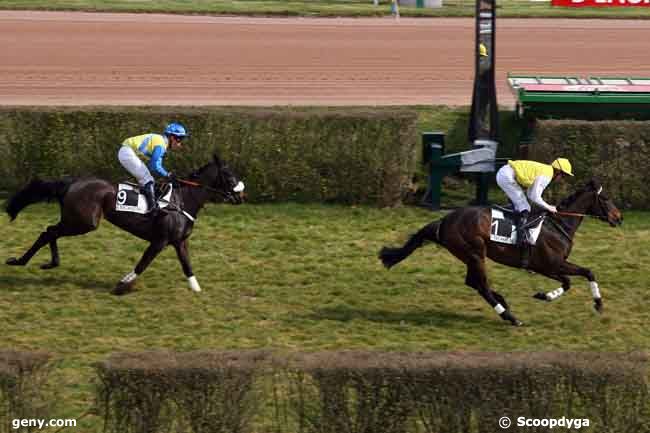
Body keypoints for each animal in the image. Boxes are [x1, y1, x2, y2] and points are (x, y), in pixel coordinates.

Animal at [5, 154, 243, 296]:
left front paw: (197, 289)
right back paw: (21, 261)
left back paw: (47, 262)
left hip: (76, 221)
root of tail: (72, 182)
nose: (241, 196)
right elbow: (142, 264)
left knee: (50, 232)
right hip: (83, 222)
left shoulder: (179, 241)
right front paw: (122, 285)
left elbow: (187, 265)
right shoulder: (160, 241)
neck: (183, 200)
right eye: (229, 176)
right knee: (49, 232)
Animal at [378, 178, 620, 324]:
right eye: (606, 198)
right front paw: (545, 296)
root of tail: (444, 221)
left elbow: (588, 272)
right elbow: (570, 281)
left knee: (473, 282)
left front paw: (598, 304)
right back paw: (509, 316)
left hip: (470, 255)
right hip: (475, 252)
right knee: (481, 285)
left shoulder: (553, 266)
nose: (619, 218)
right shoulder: (549, 265)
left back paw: (503, 302)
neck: (558, 225)